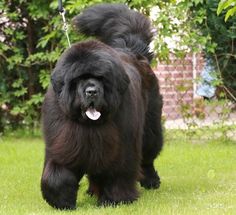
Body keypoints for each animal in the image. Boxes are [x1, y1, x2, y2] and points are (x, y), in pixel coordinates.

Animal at [40, 2, 163, 209]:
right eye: (79, 78)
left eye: (101, 78)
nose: (92, 91)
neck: (89, 125)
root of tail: (131, 50)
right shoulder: (63, 142)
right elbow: (56, 175)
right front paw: (62, 202)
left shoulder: (121, 147)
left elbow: (117, 172)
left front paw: (114, 200)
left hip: (150, 128)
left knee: (147, 157)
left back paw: (151, 181)